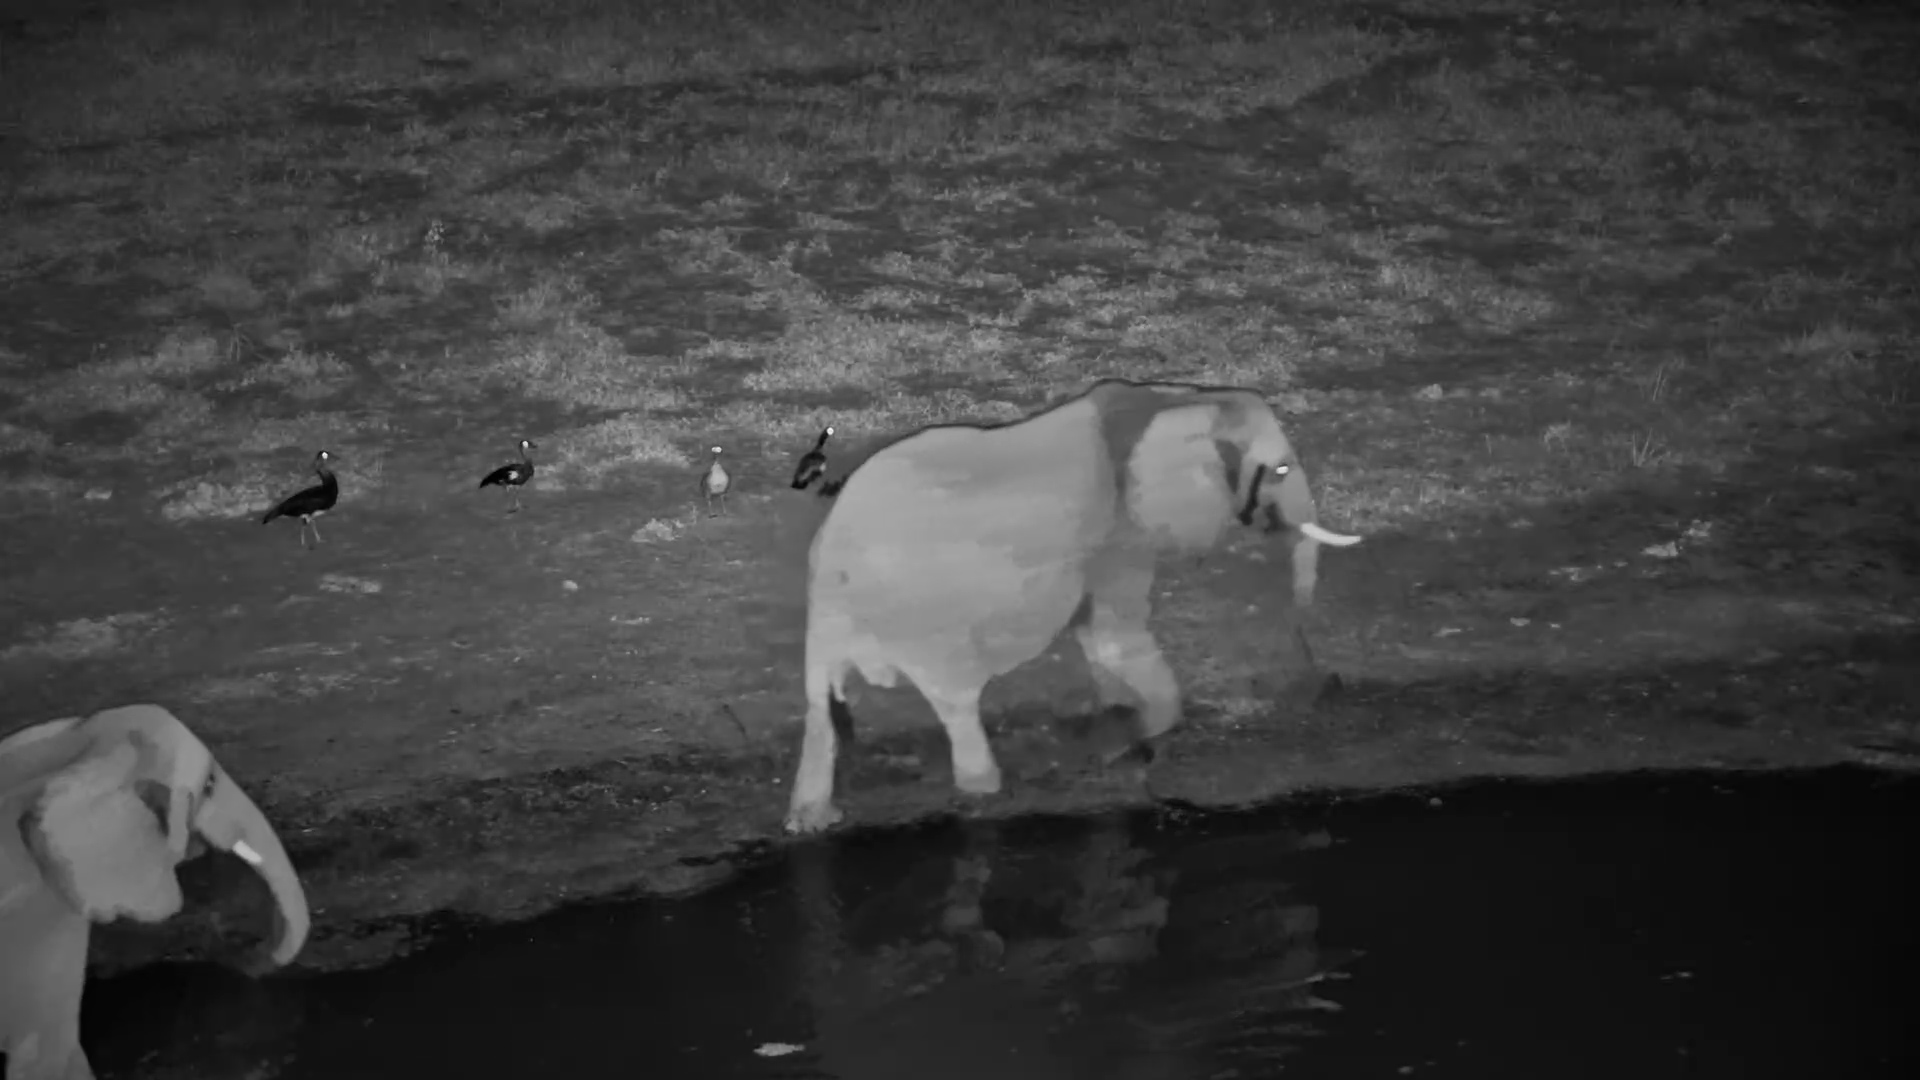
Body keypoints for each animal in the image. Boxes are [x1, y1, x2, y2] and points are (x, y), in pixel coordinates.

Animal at [785, 378, 1362, 834]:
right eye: (1282, 469)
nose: (1320, 671)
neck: (1172, 398)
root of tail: (832, 568)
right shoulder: (1117, 532)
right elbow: (1112, 634)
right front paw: (1147, 734)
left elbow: (1096, 637)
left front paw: (1121, 729)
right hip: (925, 622)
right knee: (956, 705)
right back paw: (985, 791)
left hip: (830, 626)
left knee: (822, 712)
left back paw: (811, 822)